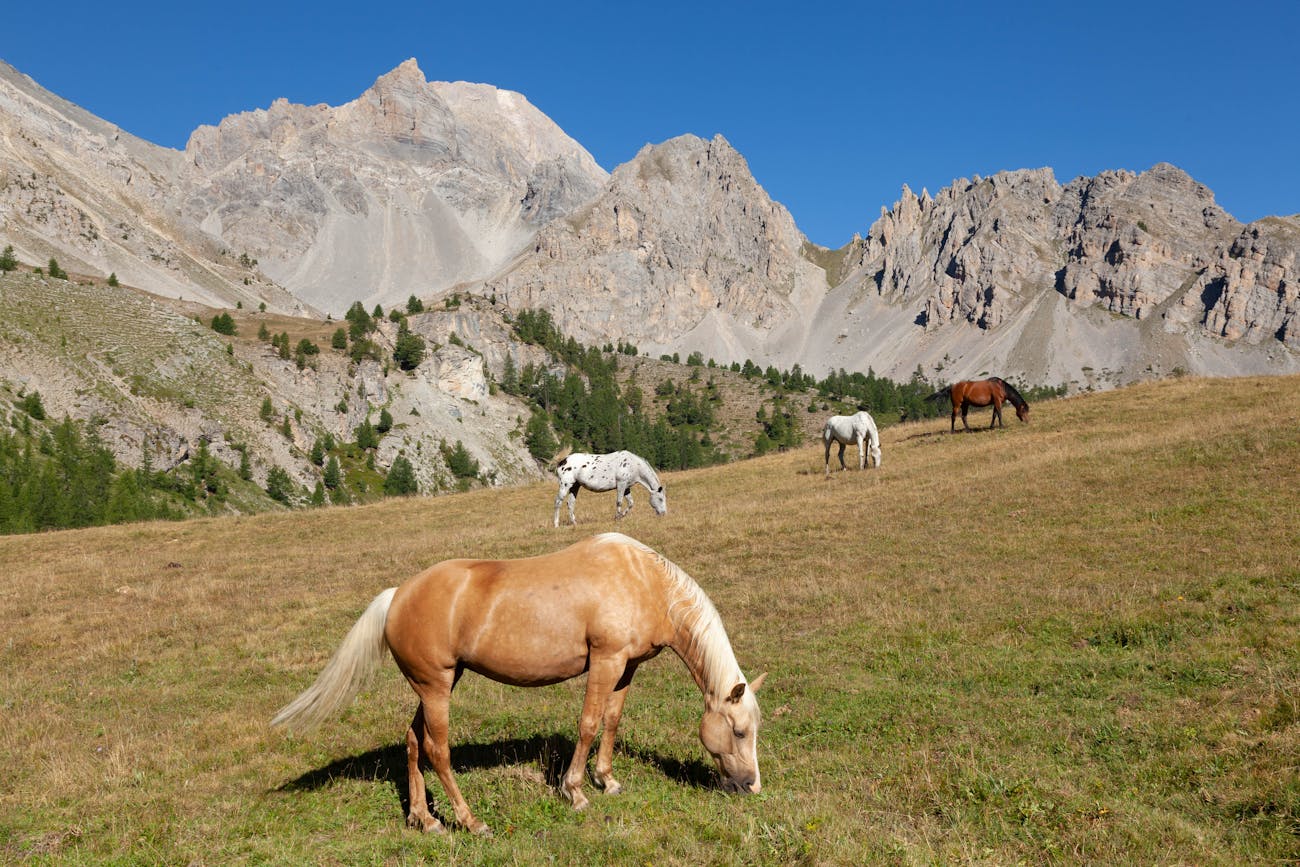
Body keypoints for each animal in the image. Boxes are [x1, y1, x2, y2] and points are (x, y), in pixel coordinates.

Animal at [270, 532, 764, 837]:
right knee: (436, 750)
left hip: (435, 686)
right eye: (739, 731)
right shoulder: (605, 661)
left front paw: (607, 780)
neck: (643, 580)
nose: (751, 787)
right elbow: (588, 724)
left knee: (411, 741)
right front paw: (575, 791)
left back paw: (424, 819)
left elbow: (612, 721)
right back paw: (470, 822)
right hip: (435, 688)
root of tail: (397, 595)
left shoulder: (627, 667)